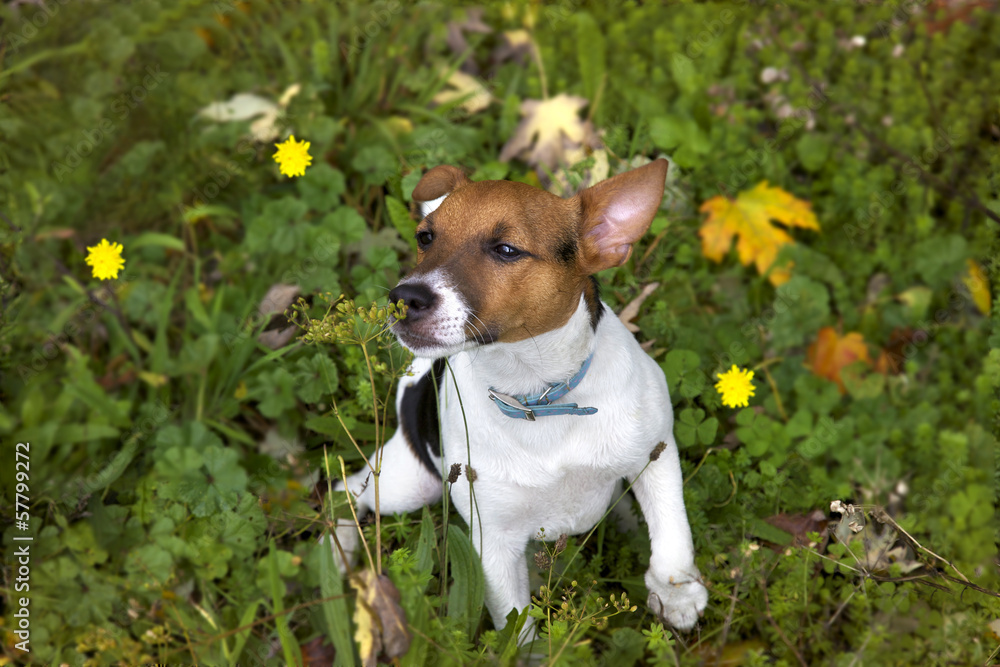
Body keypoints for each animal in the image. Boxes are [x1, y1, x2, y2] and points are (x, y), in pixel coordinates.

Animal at [338, 158, 712, 636]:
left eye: (506, 250)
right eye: (426, 238)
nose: (403, 298)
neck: (537, 395)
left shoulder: (657, 454)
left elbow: (672, 536)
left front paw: (677, 593)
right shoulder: (493, 544)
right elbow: (517, 628)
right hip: (407, 485)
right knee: (348, 489)